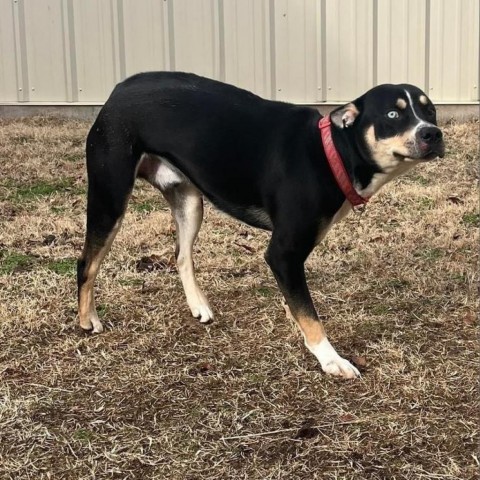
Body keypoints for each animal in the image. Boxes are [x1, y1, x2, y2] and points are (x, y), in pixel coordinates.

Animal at [77, 72, 444, 378]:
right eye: (393, 115)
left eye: (431, 111)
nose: (433, 133)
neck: (332, 154)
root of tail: (119, 90)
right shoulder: (283, 252)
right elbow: (310, 315)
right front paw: (330, 358)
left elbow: (297, 303)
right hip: (110, 197)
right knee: (87, 263)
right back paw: (87, 320)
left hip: (189, 202)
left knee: (181, 255)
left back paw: (198, 306)